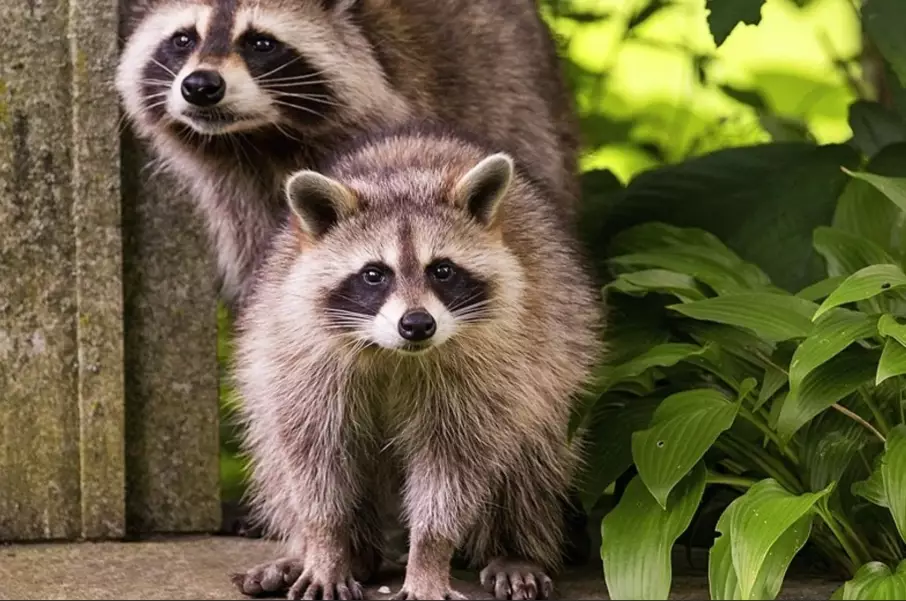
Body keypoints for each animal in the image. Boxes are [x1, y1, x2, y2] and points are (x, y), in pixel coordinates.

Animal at [229, 124, 601, 600]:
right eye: (374, 274)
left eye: (442, 270)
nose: (417, 324)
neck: (391, 351)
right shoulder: (302, 358)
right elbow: (314, 458)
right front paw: (326, 546)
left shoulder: (486, 374)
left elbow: (452, 469)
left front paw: (428, 557)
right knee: (276, 456)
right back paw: (337, 554)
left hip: (554, 366)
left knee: (533, 460)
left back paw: (516, 548)